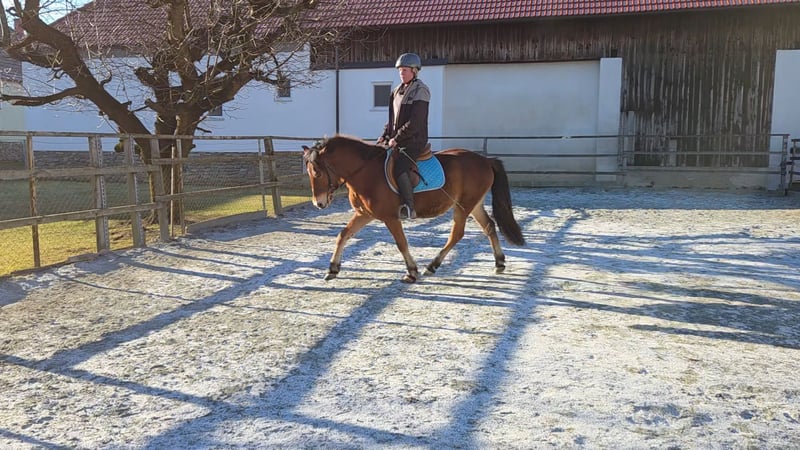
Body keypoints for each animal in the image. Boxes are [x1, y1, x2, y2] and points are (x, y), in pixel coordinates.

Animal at [302, 135, 526, 283]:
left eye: (317, 173)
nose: (318, 203)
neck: (365, 171)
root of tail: (485, 160)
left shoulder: (390, 217)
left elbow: (401, 243)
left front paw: (411, 271)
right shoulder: (364, 214)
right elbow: (343, 235)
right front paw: (332, 269)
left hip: (463, 206)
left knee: (457, 234)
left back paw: (432, 266)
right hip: (473, 204)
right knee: (489, 226)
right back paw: (499, 263)